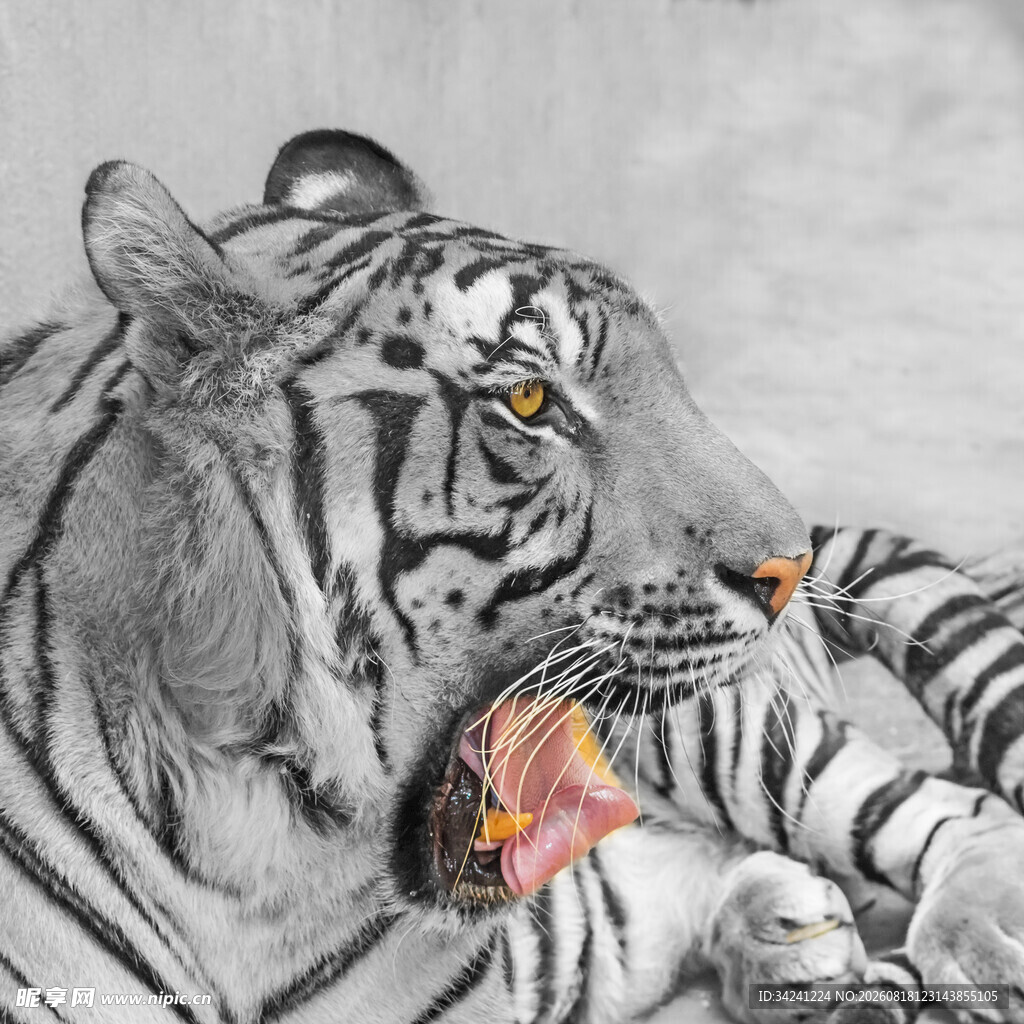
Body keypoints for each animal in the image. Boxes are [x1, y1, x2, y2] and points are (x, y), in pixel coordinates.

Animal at [1, 128, 1023, 1024]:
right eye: (530, 399)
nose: (787, 565)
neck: (254, 851)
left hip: (722, 732)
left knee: (960, 811)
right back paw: (787, 940)